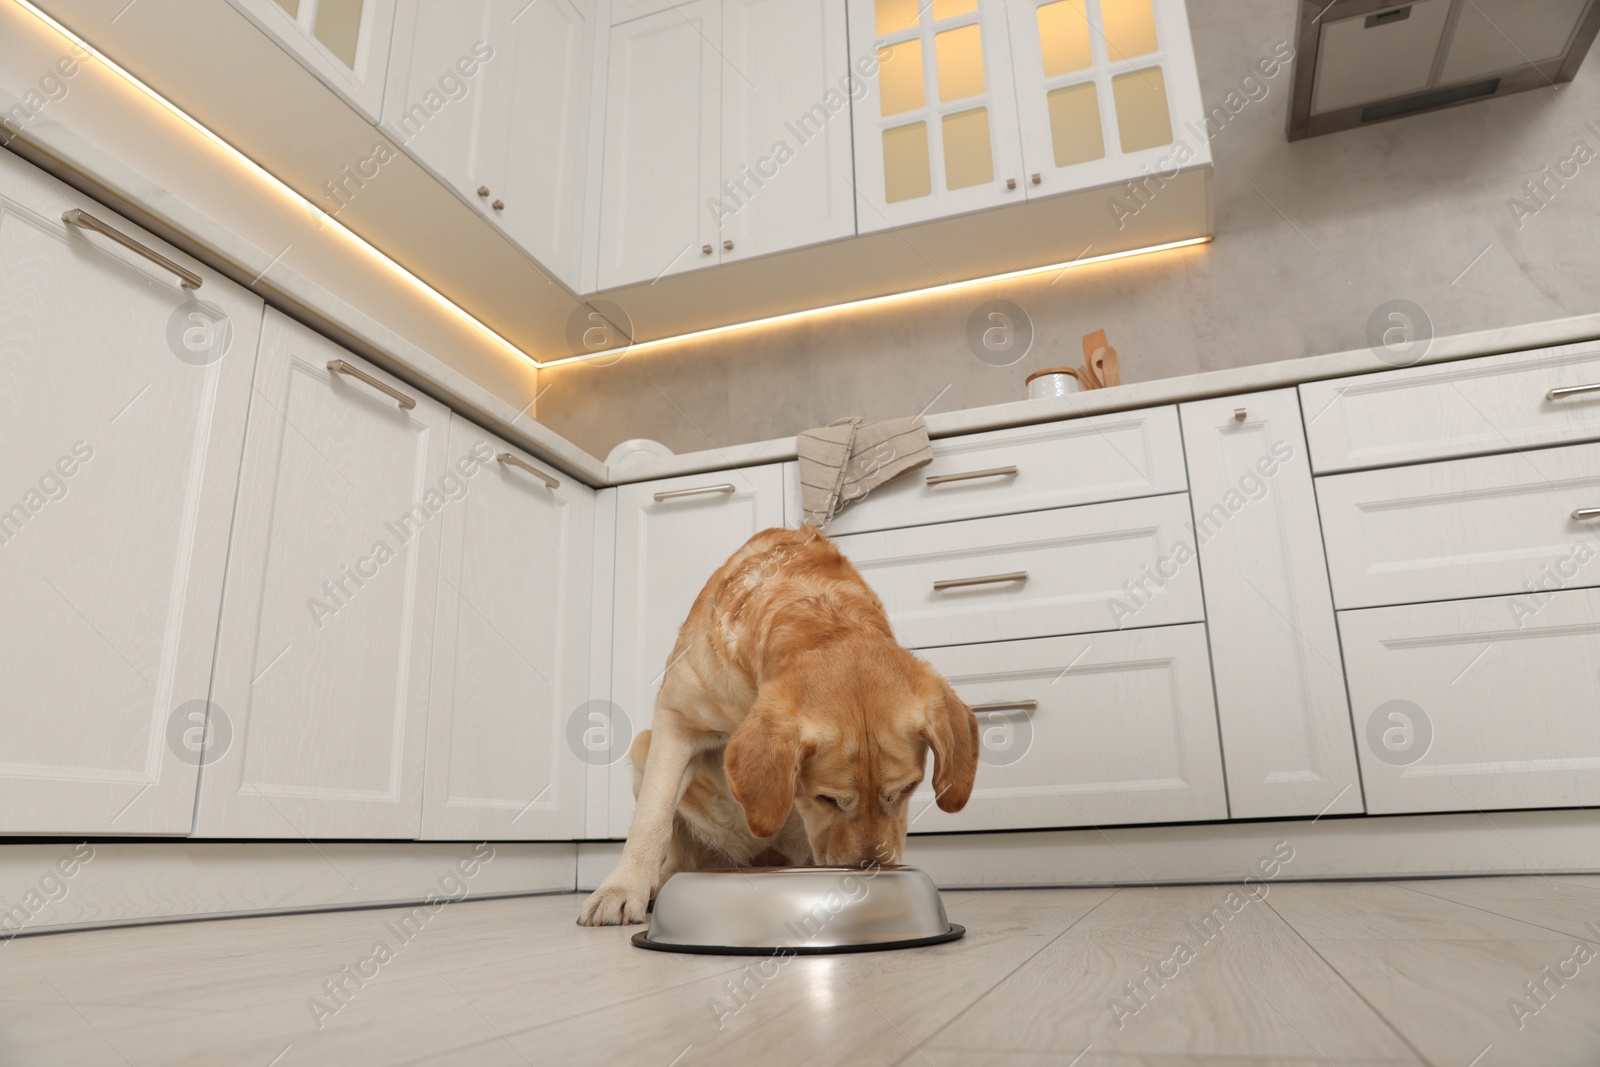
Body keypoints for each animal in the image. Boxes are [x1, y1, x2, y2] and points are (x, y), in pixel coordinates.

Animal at [576, 524, 972, 927]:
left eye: (907, 790)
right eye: (827, 799)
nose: (870, 871)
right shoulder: (676, 720)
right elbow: (652, 817)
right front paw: (621, 889)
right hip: (644, 744)